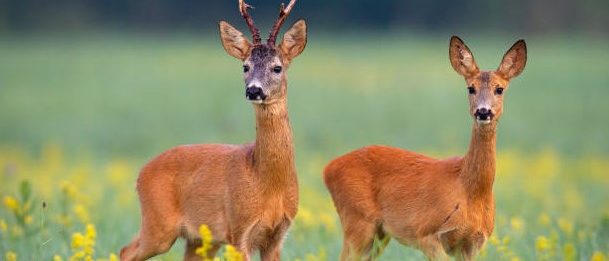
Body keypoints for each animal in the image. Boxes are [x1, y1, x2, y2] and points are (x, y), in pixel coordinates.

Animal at [119, 1, 306, 258]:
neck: (267, 183)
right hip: (158, 225)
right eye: (245, 66)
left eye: (277, 68)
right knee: (125, 251)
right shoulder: (239, 229)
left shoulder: (277, 235)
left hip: (199, 239)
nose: (254, 90)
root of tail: (140, 173)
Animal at [324, 37, 528, 260]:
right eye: (470, 88)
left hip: (378, 233)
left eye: (499, 89)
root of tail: (328, 169)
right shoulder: (426, 232)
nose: (483, 112)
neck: (468, 191)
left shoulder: (472, 243)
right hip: (357, 219)